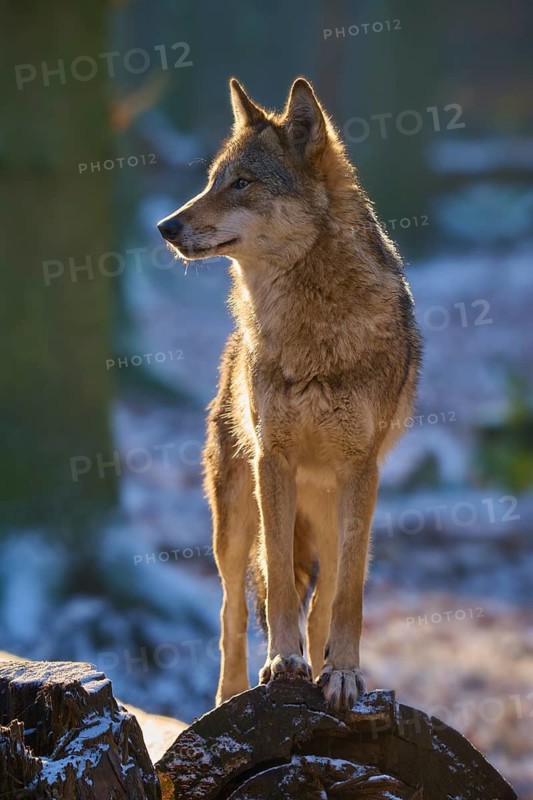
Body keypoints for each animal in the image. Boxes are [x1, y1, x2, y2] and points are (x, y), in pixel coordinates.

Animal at [157, 77, 421, 710]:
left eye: (243, 183)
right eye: (212, 180)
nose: (165, 227)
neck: (310, 331)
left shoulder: (360, 470)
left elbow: (347, 597)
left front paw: (343, 673)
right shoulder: (272, 462)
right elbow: (276, 580)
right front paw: (283, 662)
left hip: (331, 507)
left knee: (325, 597)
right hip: (233, 517)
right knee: (231, 610)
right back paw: (229, 696)